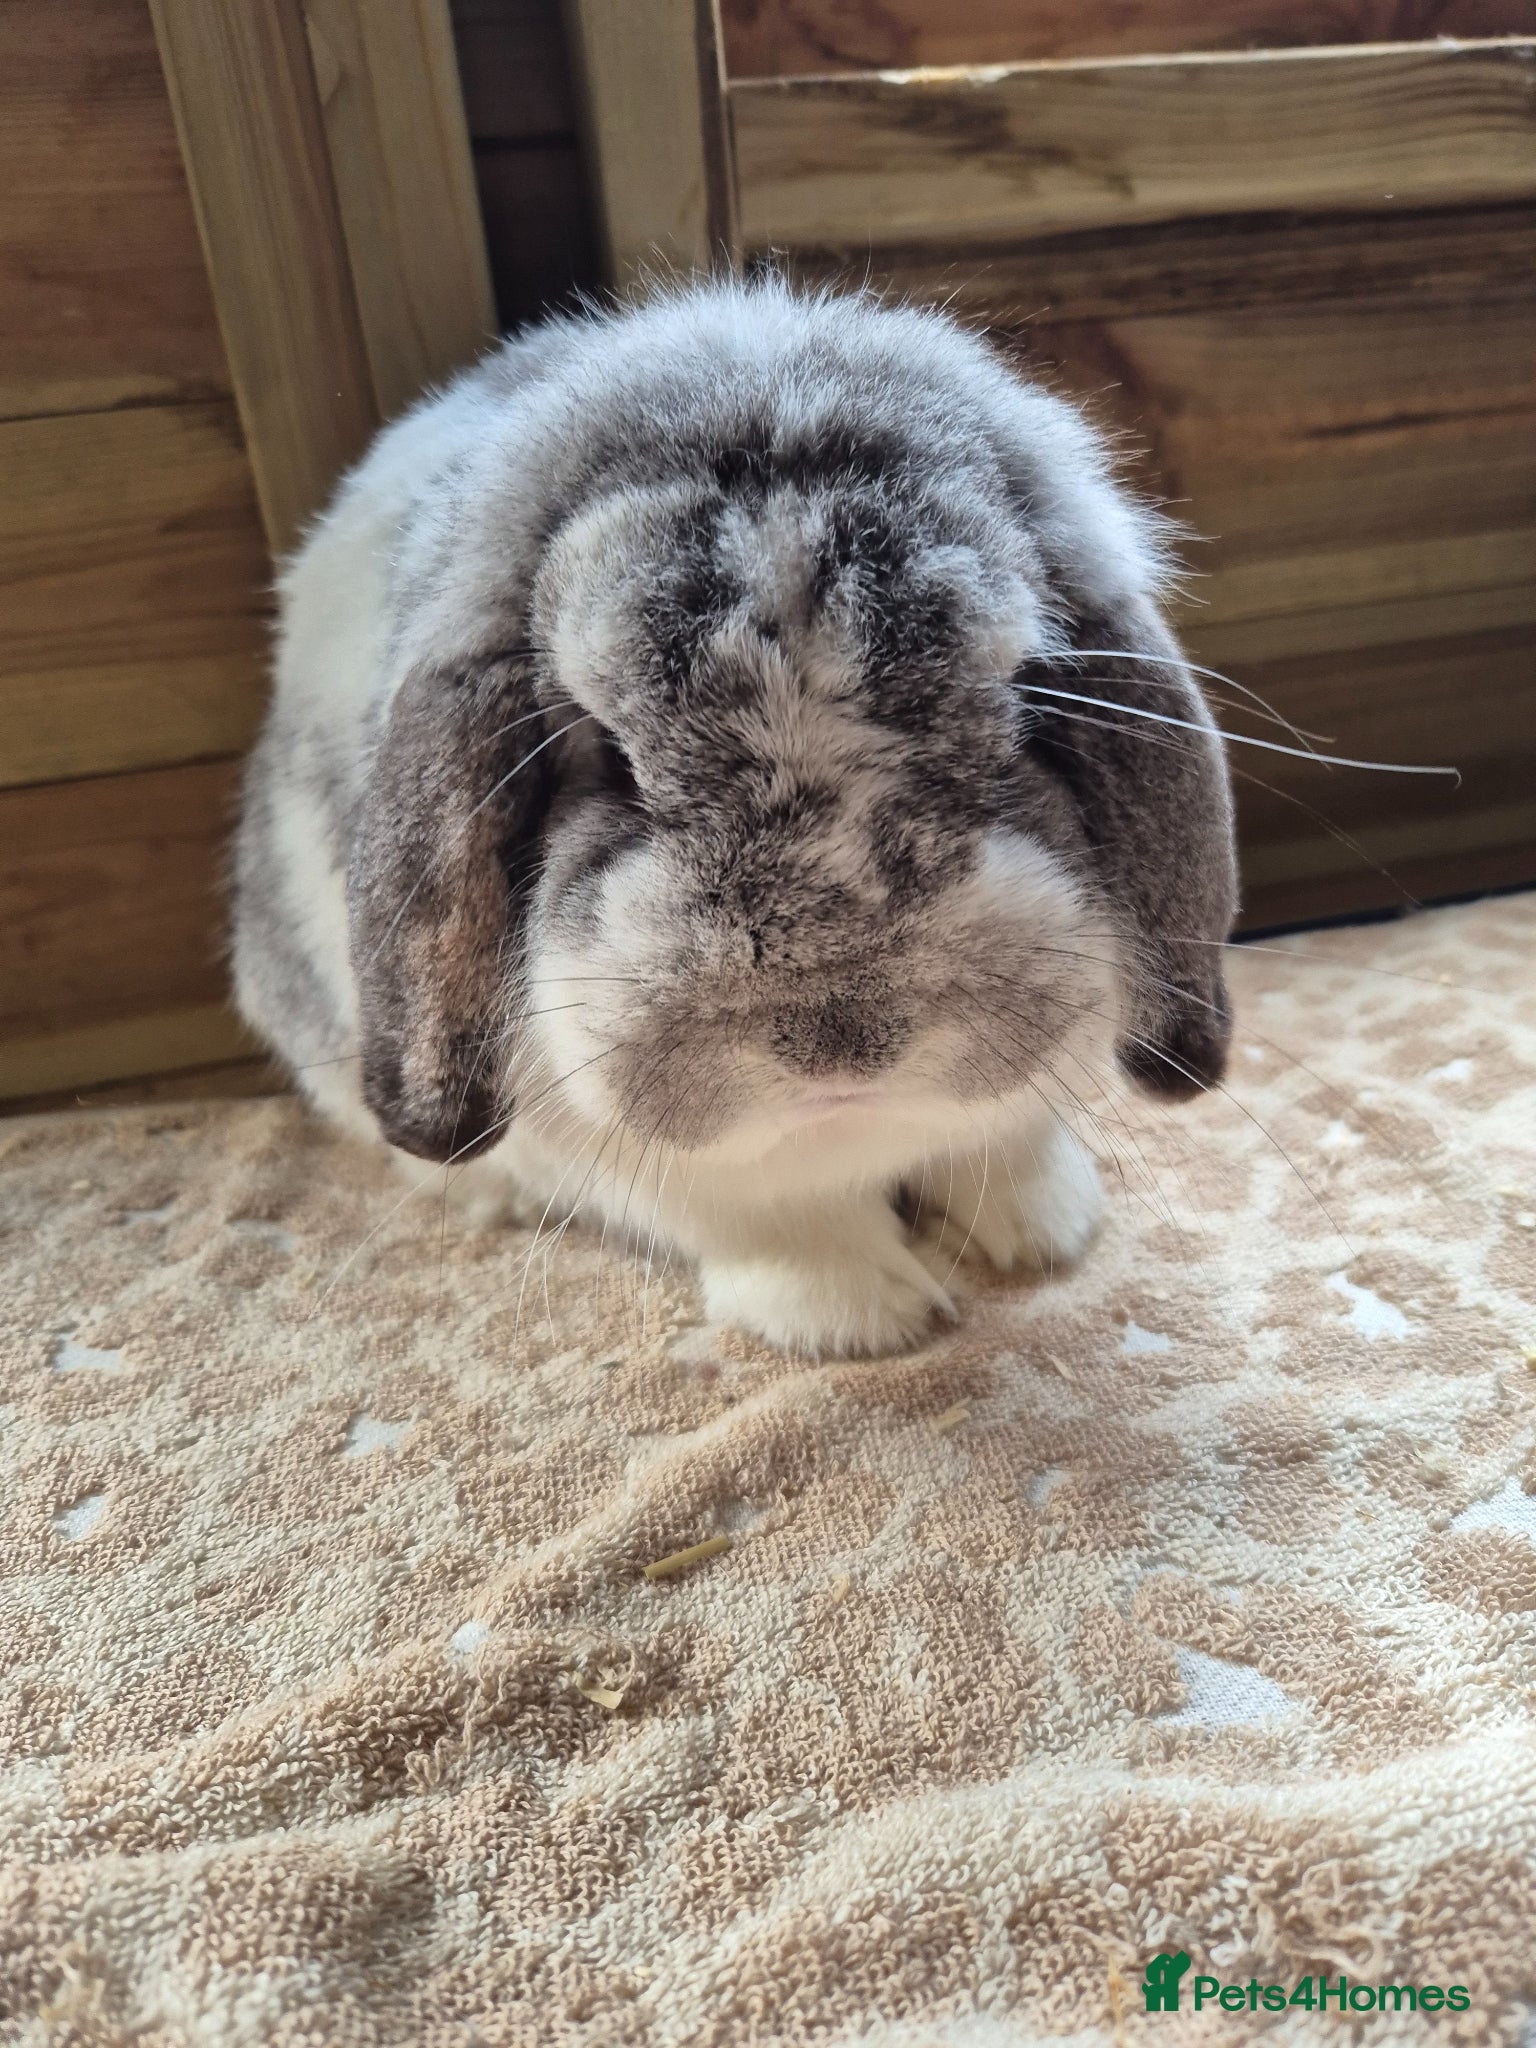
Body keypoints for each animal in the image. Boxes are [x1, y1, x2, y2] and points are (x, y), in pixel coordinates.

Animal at [232, 277, 1237, 1357]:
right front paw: (869, 1318)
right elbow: (779, 1226)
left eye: (1021, 709)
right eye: (608, 757)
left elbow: (1007, 1151)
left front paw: (1044, 1237)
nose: (843, 1045)